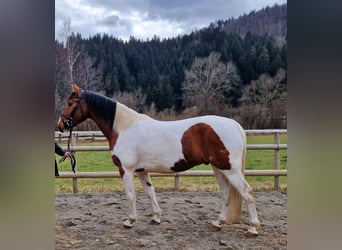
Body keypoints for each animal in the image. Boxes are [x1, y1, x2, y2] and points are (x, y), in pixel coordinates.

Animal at [58, 84, 260, 236]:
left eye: (70, 102)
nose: (60, 125)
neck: (123, 128)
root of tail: (234, 124)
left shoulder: (126, 170)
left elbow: (130, 195)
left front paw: (130, 221)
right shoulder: (142, 171)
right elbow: (150, 193)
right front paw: (156, 218)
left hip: (229, 169)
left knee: (247, 192)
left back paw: (252, 228)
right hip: (218, 168)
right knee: (225, 192)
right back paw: (218, 223)